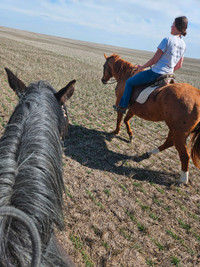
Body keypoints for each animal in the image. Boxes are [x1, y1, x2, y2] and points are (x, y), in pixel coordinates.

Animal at [101, 54, 200, 184]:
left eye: (104, 66)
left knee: (184, 154)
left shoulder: (120, 102)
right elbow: (126, 120)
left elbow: (119, 118)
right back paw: (149, 153)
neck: (126, 76)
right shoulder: (133, 109)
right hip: (174, 128)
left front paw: (115, 132)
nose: (103, 80)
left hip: (179, 131)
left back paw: (183, 179)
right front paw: (130, 135)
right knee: (169, 142)